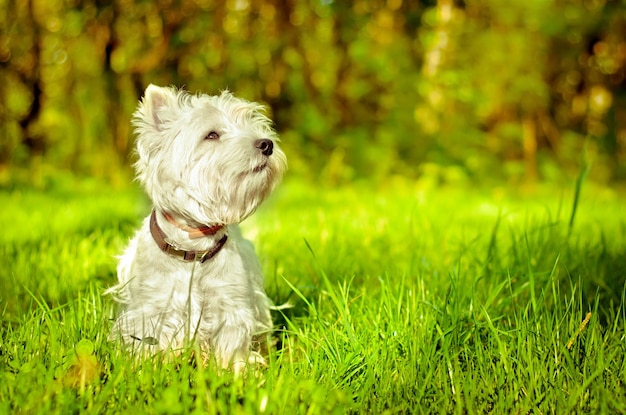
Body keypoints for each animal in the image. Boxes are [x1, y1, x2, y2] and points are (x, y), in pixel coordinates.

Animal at [106, 85, 286, 374]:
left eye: (250, 122)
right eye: (211, 135)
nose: (267, 143)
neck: (193, 247)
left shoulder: (230, 303)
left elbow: (232, 342)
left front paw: (237, 372)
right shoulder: (152, 308)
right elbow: (147, 343)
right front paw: (146, 370)